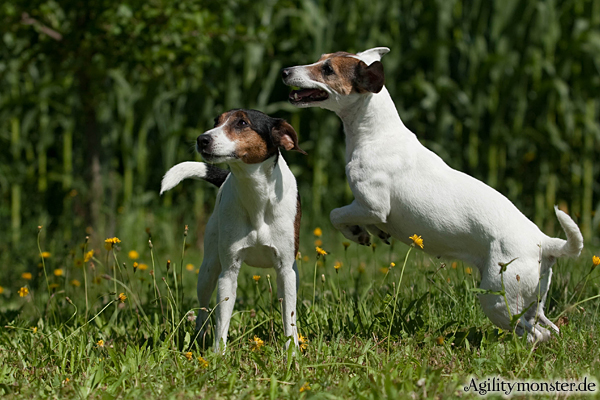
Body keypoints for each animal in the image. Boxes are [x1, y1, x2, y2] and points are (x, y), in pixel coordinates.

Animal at [160, 109, 306, 351]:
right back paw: (200, 335)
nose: (202, 139)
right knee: (203, 308)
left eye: (242, 123)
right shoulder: (228, 271)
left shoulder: (286, 271)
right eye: (215, 121)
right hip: (208, 269)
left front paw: (291, 352)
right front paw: (218, 354)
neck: (256, 195)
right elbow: (222, 319)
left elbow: (289, 317)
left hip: (293, 274)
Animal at [282, 47, 583, 342]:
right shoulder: (368, 209)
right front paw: (372, 232)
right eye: (321, 59)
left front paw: (356, 233)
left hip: (498, 299)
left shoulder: (372, 205)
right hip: (533, 300)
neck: (376, 134)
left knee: (536, 334)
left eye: (328, 70)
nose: (284, 71)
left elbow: (336, 214)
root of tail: (545, 242)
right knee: (548, 327)